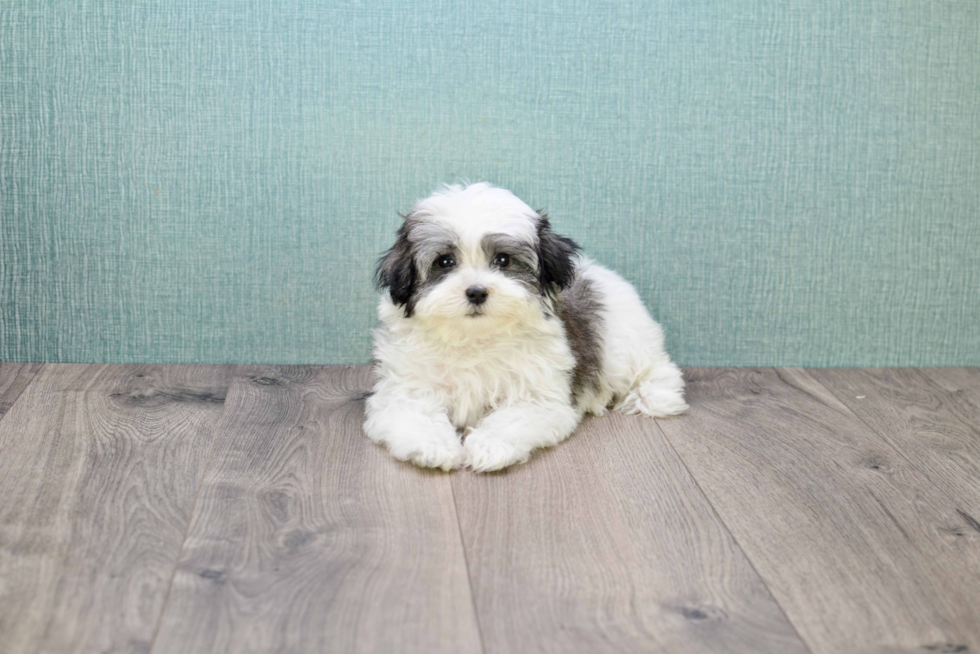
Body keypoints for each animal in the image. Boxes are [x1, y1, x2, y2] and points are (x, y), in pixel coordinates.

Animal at [362, 183, 688, 472]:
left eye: (503, 260)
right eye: (445, 262)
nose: (476, 292)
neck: (473, 337)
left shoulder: (537, 396)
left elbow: (512, 419)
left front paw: (489, 446)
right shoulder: (405, 389)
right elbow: (414, 414)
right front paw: (434, 447)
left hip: (624, 343)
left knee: (655, 368)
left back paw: (653, 396)